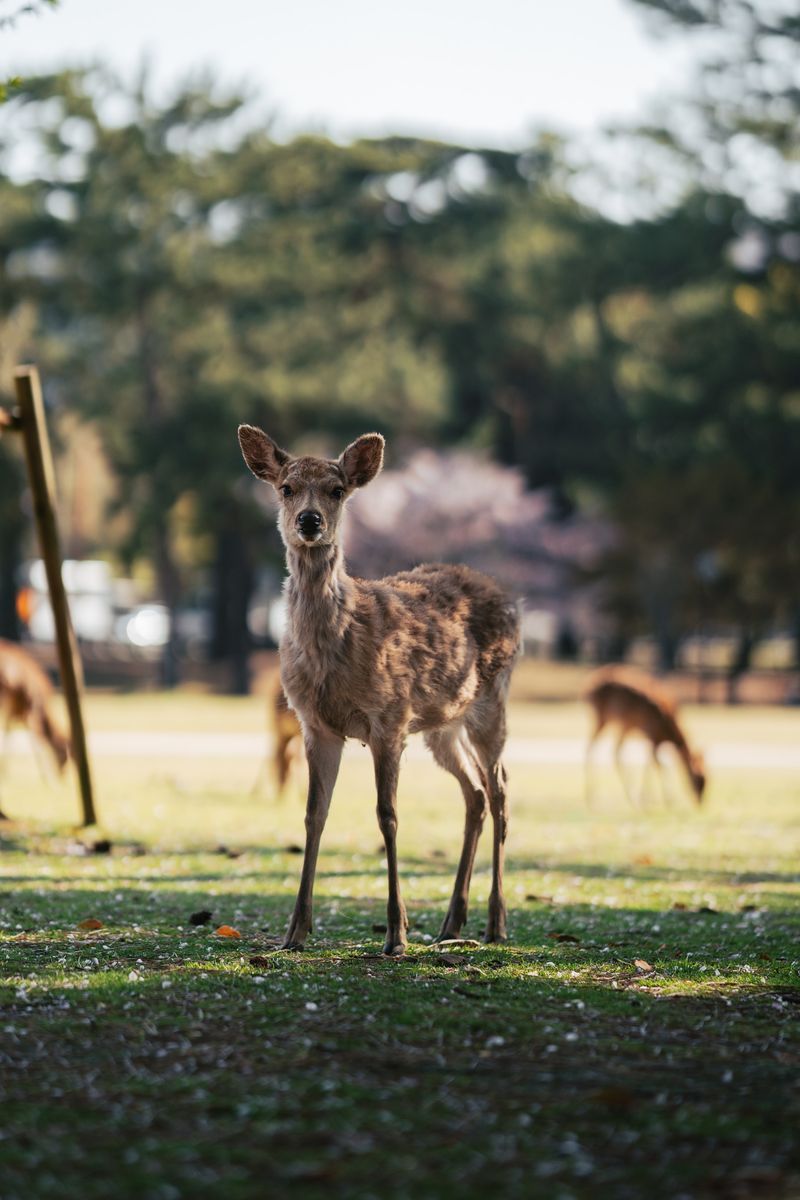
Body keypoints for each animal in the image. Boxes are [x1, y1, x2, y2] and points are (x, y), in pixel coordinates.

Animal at [0, 638, 71, 816]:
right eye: (64, 755)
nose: (63, 777)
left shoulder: (20, 711)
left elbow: (10, 734)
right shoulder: (27, 708)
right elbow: (34, 741)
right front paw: (47, 780)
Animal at [582, 667, 705, 806]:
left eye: (707, 779)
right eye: (699, 778)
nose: (700, 802)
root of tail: (587, 687)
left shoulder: (653, 740)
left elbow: (649, 763)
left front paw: (648, 797)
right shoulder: (651, 734)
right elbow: (658, 765)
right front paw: (668, 799)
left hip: (623, 725)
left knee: (615, 751)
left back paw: (628, 795)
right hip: (602, 718)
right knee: (592, 748)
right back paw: (593, 796)